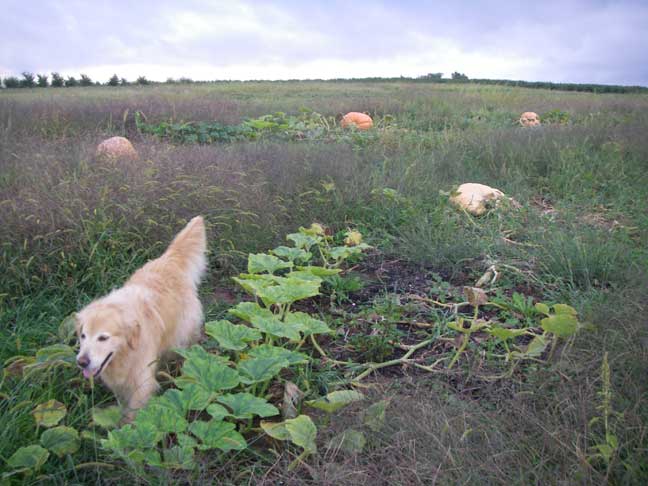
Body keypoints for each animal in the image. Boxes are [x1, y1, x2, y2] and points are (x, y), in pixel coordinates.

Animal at [75, 215, 208, 420]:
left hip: (183, 336)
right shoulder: (121, 384)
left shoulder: (142, 382)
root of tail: (169, 259)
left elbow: (133, 416)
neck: (125, 354)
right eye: (83, 336)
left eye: (103, 338)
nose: (81, 362)